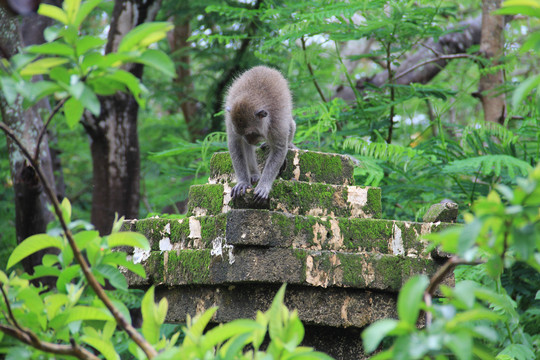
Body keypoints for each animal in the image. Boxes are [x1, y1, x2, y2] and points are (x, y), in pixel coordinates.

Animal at [226, 65, 298, 202]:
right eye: (242, 133)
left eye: (252, 133)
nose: (249, 140)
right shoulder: (231, 121)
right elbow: (236, 145)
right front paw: (243, 182)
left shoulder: (277, 123)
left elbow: (279, 149)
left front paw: (264, 186)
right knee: (246, 147)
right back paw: (254, 174)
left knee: (290, 125)